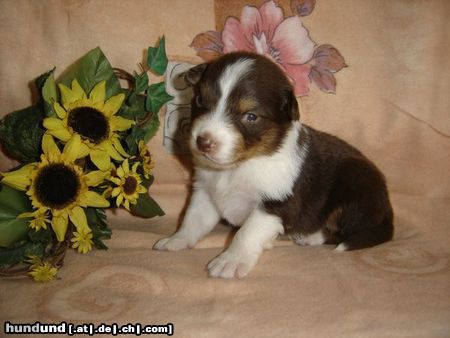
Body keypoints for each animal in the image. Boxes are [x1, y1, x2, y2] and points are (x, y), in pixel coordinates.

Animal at [153, 52, 392, 278]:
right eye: (201, 100)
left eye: (251, 116)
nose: (204, 142)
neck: (237, 167)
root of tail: (387, 208)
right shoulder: (205, 192)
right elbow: (192, 219)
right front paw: (175, 239)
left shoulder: (276, 202)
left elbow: (247, 231)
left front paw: (230, 261)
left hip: (356, 183)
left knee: (343, 231)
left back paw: (309, 237)